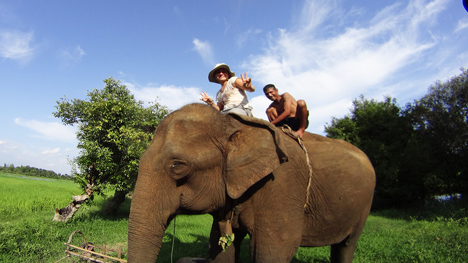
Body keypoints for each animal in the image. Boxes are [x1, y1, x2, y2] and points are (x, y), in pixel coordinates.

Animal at [126, 104, 374, 262]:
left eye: (177, 167)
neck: (234, 126)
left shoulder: (282, 184)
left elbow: (273, 251)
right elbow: (221, 249)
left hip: (364, 206)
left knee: (346, 246)